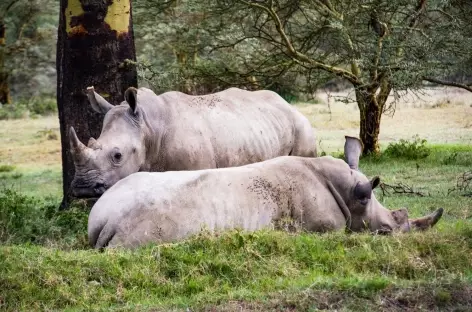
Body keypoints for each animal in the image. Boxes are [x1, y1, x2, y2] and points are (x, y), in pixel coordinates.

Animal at [70, 85, 318, 197]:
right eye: (91, 143)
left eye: (117, 155)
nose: (83, 189)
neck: (148, 127)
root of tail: (288, 105)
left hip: (302, 127)